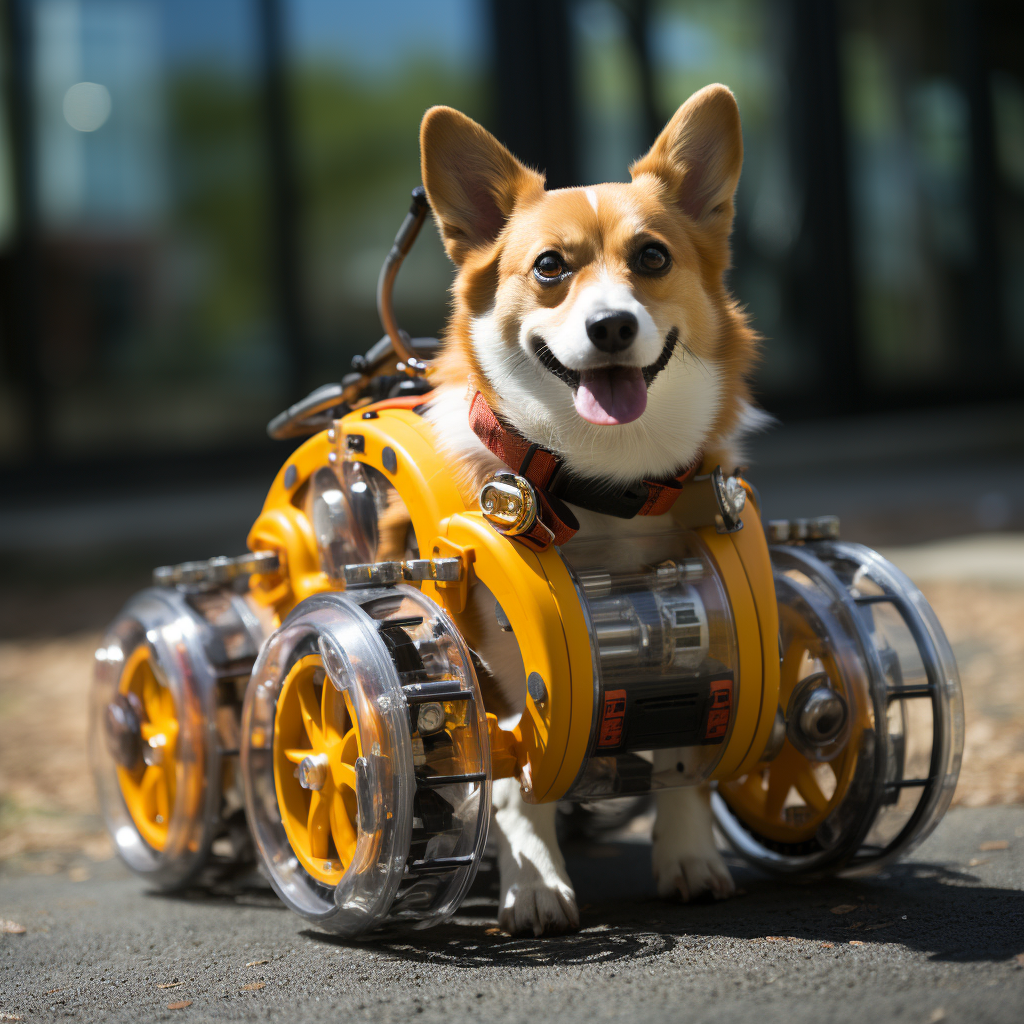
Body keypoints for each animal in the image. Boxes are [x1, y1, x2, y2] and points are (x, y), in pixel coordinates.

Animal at [395, 86, 765, 937]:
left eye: (653, 257)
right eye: (550, 267)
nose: (612, 326)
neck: (603, 480)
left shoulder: (701, 623)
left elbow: (685, 758)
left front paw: (689, 857)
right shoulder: (499, 672)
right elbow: (514, 780)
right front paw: (533, 882)